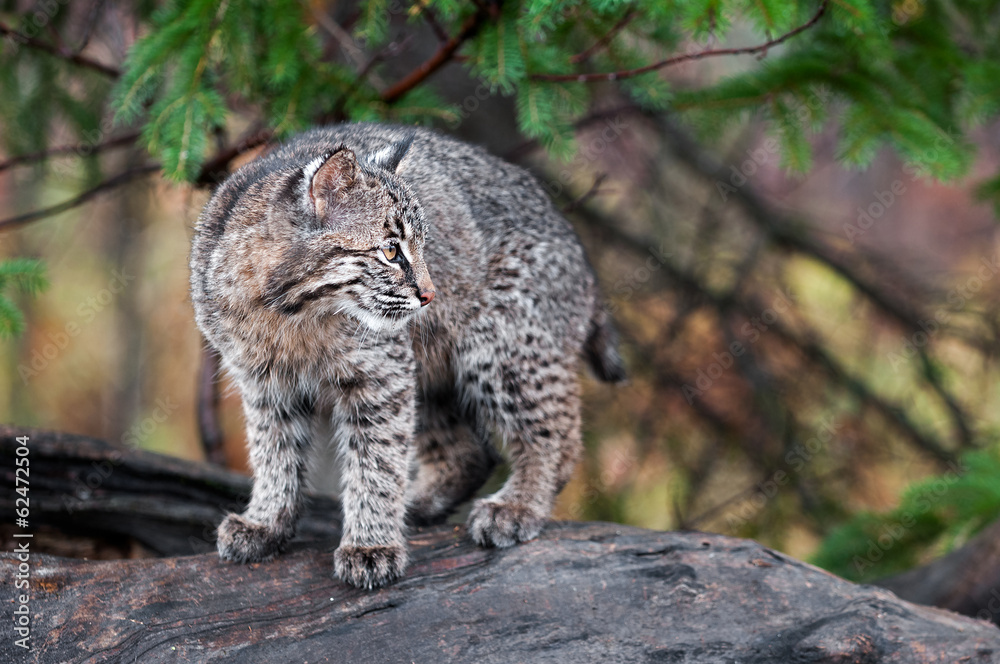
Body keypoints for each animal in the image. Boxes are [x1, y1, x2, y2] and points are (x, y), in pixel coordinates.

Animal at [190, 123, 620, 588]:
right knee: (471, 452)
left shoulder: (381, 375)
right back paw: (417, 507)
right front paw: (266, 523)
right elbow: (273, 450)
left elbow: (376, 458)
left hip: (503, 341)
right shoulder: (263, 381)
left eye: (425, 245)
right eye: (391, 250)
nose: (431, 296)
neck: (290, 313)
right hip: (432, 364)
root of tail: (569, 234)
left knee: (556, 432)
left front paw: (370, 547)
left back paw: (518, 506)